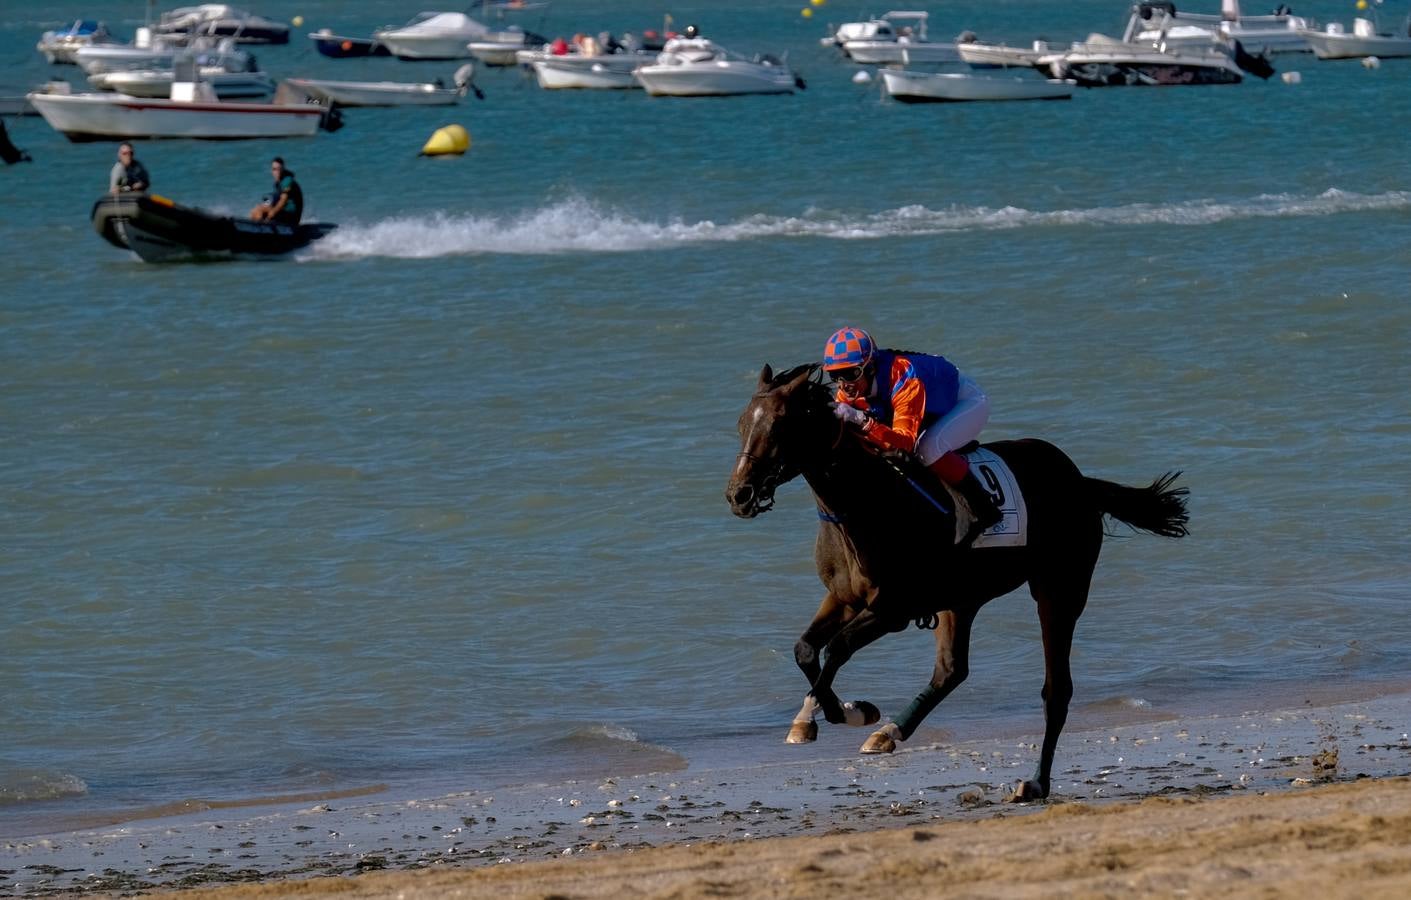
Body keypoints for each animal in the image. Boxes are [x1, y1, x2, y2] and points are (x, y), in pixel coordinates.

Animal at [728, 366, 1190, 801]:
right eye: (741, 422)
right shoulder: (843, 598)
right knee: (951, 670)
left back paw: (1034, 783)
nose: (739, 494)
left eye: (779, 425)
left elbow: (837, 648)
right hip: (961, 599)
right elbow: (806, 649)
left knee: (1056, 689)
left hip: (1059, 589)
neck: (869, 503)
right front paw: (821, 716)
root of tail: (1078, 481)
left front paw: (843, 713)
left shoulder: (894, 608)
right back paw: (889, 733)